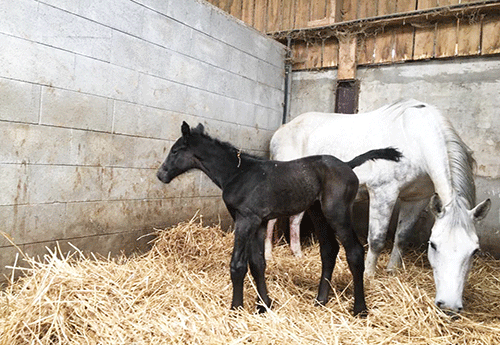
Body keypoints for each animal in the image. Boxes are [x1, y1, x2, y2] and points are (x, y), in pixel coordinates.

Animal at [268, 99, 490, 312]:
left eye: (474, 251)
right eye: (433, 244)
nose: (449, 306)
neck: (414, 139)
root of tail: (282, 129)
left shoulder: (416, 199)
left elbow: (402, 237)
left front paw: (392, 270)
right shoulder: (383, 193)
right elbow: (376, 240)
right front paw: (369, 275)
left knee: (294, 221)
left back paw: (297, 254)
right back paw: (269, 254)